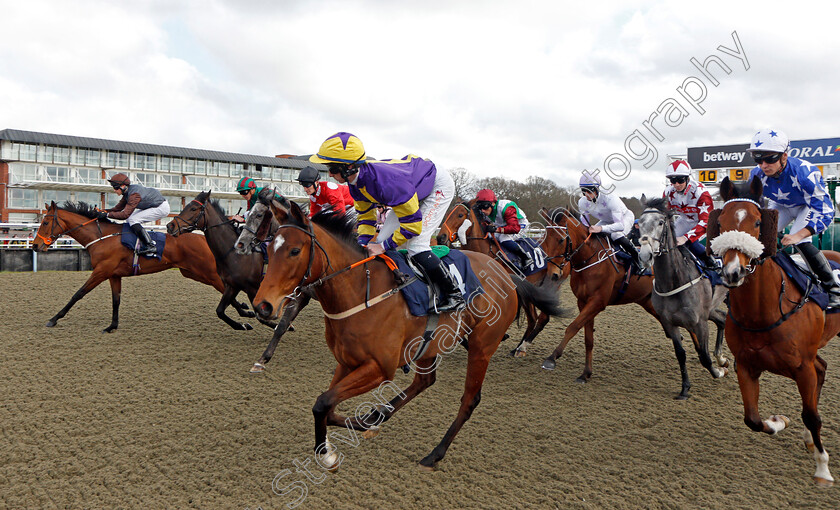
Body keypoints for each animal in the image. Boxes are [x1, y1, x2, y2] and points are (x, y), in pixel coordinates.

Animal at [36, 201, 246, 332]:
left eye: (45, 222)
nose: (35, 245)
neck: (101, 237)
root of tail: (203, 238)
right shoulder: (113, 275)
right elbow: (116, 300)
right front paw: (112, 326)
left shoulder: (101, 271)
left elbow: (78, 294)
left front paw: (54, 319)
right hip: (193, 273)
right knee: (225, 289)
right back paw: (244, 311)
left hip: (207, 272)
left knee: (226, 287)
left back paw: (244, 313)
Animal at [434, 197, 572, 356]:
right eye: (447, 213)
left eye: (460, 215)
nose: (441, 237)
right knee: (533, 319)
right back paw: (518, 348)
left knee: (542, 318)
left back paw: (522, 347)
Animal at [636, 197, 728, 400]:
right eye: (640, 223)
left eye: (660, 222)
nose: (645, 254)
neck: (674, 281)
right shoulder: (670, 322)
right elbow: (681, 354)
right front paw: (685, 388)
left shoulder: (699, 322)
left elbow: (704, 356)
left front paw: (718, 372)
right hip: (710, 308)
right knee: (723, 319)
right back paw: (722, 358)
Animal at [708, 177, 840, 484]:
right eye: (720, 222)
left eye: (758, 222)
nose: (733, 272)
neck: (762, 313)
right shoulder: (747, 365)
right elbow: (753, 419)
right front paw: (778, 421)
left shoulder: (802, 367)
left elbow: (811, 415)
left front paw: (823, 468)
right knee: (823, 368)